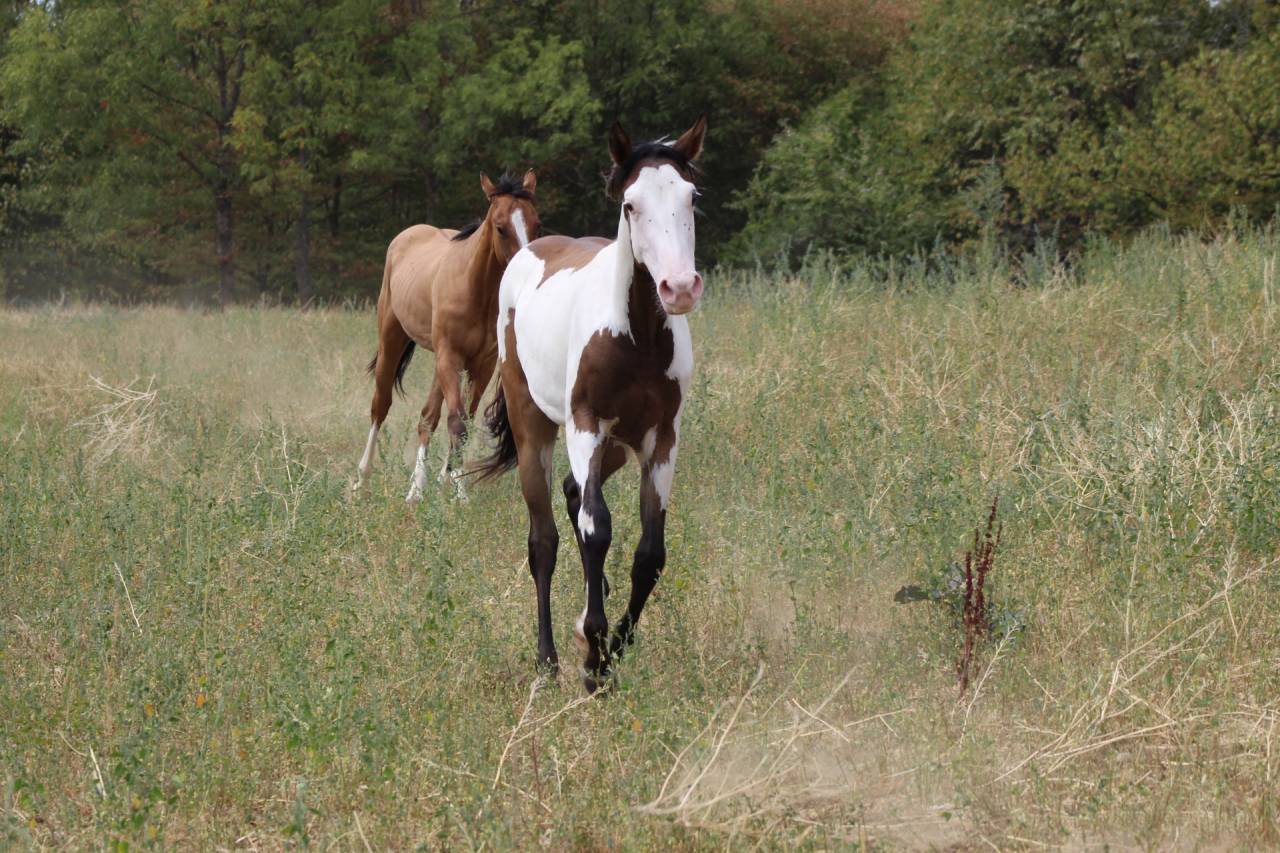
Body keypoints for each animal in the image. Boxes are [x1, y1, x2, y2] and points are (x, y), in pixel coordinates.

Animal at [356, 171, 540, 502]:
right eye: (500, 227)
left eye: (537, 223)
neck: (474, 290)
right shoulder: (450, 357)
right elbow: (456, 422)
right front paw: (459, 492)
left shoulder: (482, 365)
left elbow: (463, 422)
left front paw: (453, 484)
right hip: (393, 340)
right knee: (381, 405)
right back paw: (362, 482)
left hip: (442, 365)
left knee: (427, 417)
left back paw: (417, 488)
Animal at [473, 118, 707, 692]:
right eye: (630, 204)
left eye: (691, 197)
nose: (679, 287)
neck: (636, 338)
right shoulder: (586, 425)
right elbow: (596, 529)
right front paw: (594, 661)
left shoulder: (660, 439)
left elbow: (650, 554)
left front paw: (609, 645)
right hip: (535, 427)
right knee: (545, 538)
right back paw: (547, 661)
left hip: (616, 446)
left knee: (575, 491)